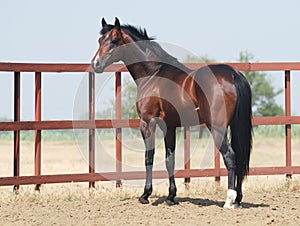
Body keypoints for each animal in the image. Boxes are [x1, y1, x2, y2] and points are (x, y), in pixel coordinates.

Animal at [91, 17, 253, 208]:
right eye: (100, 40)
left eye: (115, 41)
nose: (96, 64)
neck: (153, 73)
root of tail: (234, 75)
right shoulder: (169, 126)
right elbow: (170, 160)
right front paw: (171, 196)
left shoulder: (147, 123)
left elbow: (149, 157)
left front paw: (145, 195)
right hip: (235, 125)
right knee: (240, 156)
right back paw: (238, 199)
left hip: (217, 128)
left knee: (230, 156)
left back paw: (229, 199)